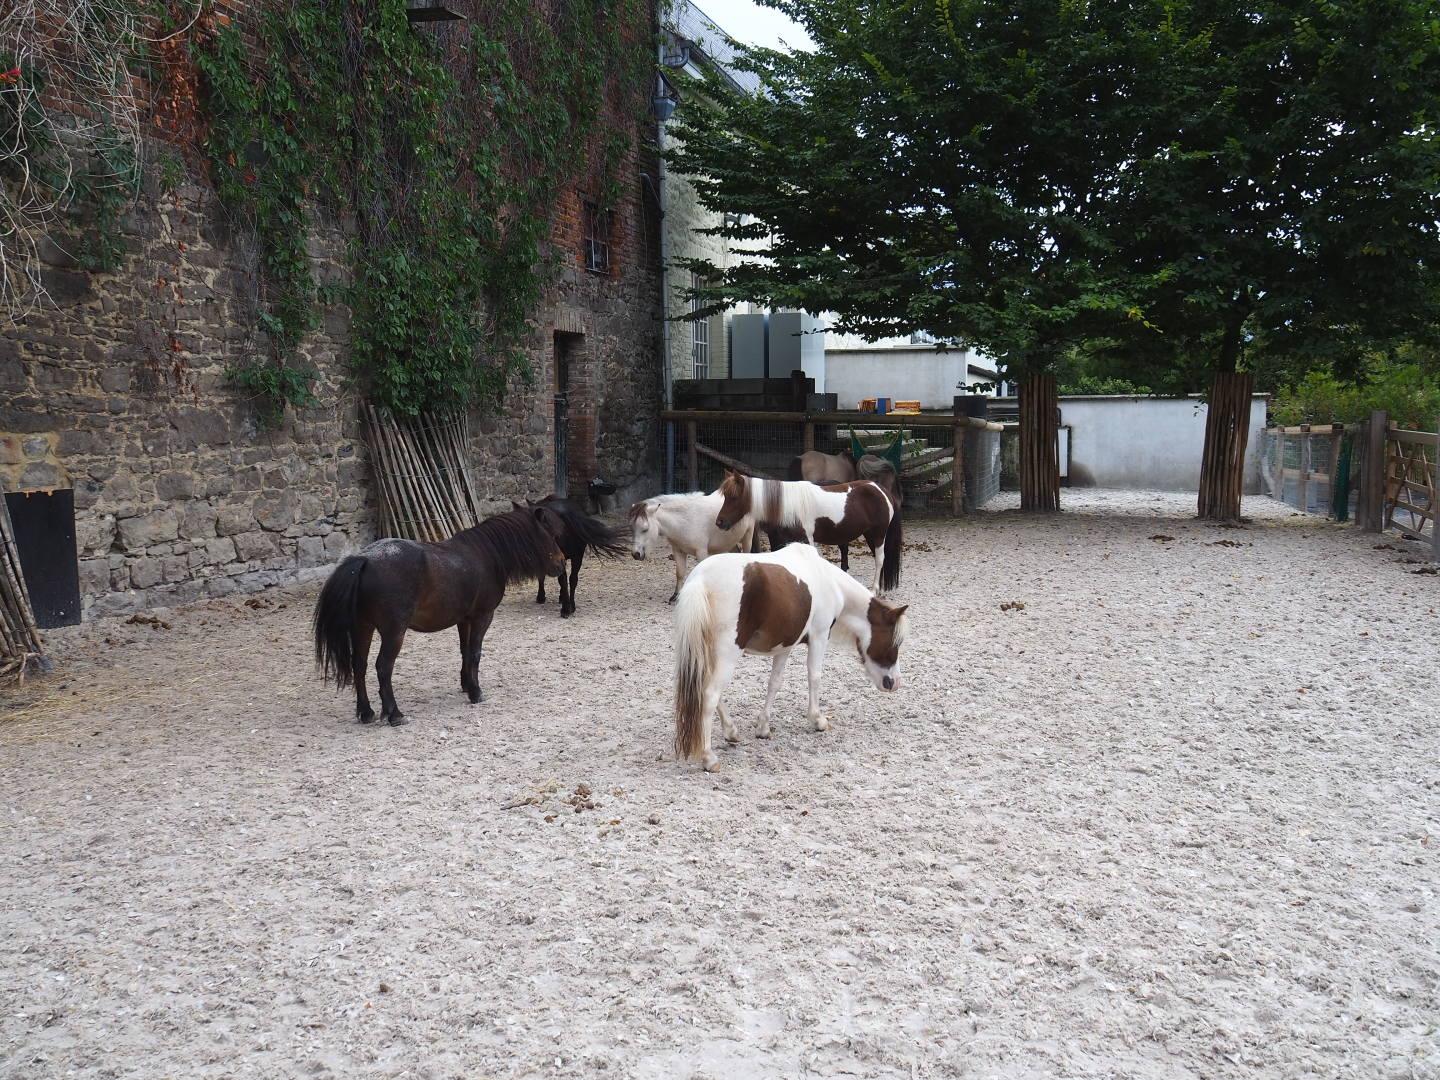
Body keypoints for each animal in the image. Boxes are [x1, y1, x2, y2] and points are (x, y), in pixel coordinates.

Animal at [313, 506, 565, 726]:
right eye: (551, 534)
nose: (562, 563)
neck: (485, 556)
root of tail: (364, 560)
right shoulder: (483, 616)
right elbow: (475, 652)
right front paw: (476, 692)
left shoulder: (465, 619)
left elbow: (465, 651)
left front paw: (467, 684)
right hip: (394, 632)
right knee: (383, 666)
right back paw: (394, 714)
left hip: (363, 627)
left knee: (360, 664)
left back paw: (366, 712)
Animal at [672, 542, 909, 771]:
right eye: (895, 642)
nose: (894, 682)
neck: (830, 582)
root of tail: (701, 580)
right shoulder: (819, 637)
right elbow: (814, 677)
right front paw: (818, 720)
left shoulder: (785, 646)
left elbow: (775, 683)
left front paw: (763, 728)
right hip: (728, 655)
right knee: (710, 695)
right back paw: (709, 758)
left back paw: (731, 732)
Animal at [714, 470, 902, 593]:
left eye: (733, 497)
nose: (720, 522)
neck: (788, 505)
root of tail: (883, 490)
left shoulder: (807, 540)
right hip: (870, 534)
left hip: (879, 534)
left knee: (879, 559)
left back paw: (874, 590)